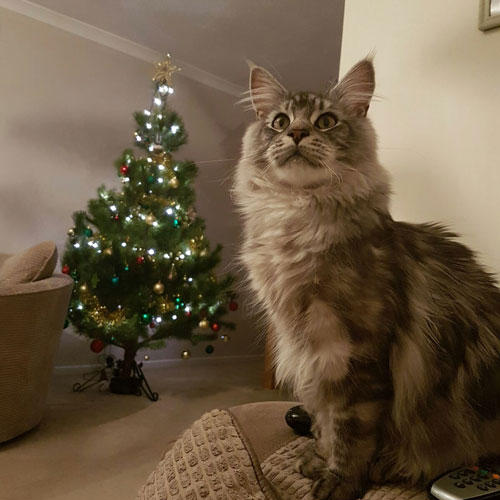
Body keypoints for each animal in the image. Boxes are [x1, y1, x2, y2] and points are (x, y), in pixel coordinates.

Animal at [232, 58, 500, 500]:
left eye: (325, 121)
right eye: (279, 121)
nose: (297, 133)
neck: (298, 217)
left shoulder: (353, 353)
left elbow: (350, 429)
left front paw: (340, 481)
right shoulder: (311, 357)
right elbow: (323, 421)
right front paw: (320, 461)